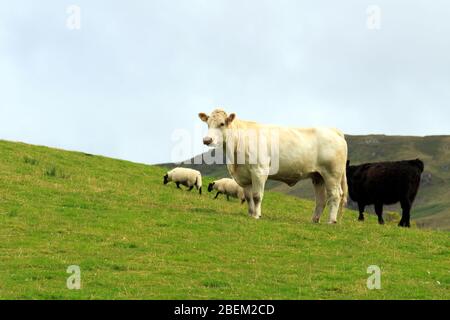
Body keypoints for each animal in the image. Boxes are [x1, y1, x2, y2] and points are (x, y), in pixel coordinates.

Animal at [199, 109, 350, 224]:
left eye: (222, 123)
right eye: (208, 124)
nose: (207, 140)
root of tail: (333, 130)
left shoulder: (259, 171)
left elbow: (257, 196)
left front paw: (256, 215)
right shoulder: (245, 177)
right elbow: (248, 197)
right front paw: (250, 214)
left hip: (332, 174)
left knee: (335, 195)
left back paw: (331, 221)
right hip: (318, 176)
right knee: (321, 199)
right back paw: (314, 220)